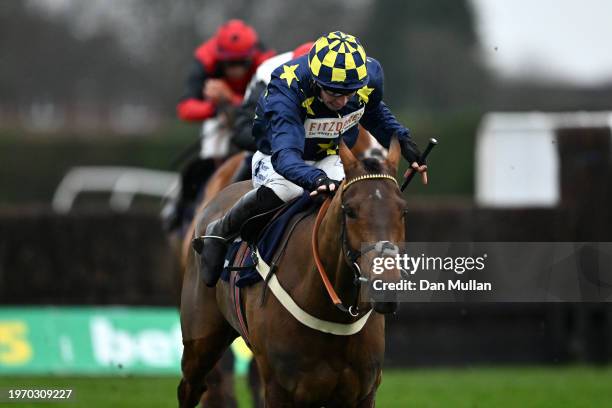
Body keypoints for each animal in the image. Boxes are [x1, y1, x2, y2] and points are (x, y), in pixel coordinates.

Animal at [177, 135, 406, 406]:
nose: (385, 287)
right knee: (192, 386)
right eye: (349, 211)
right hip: (200, 340)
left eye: (403, 211)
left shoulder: (362, 391)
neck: (330, 310)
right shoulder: (280, 388)